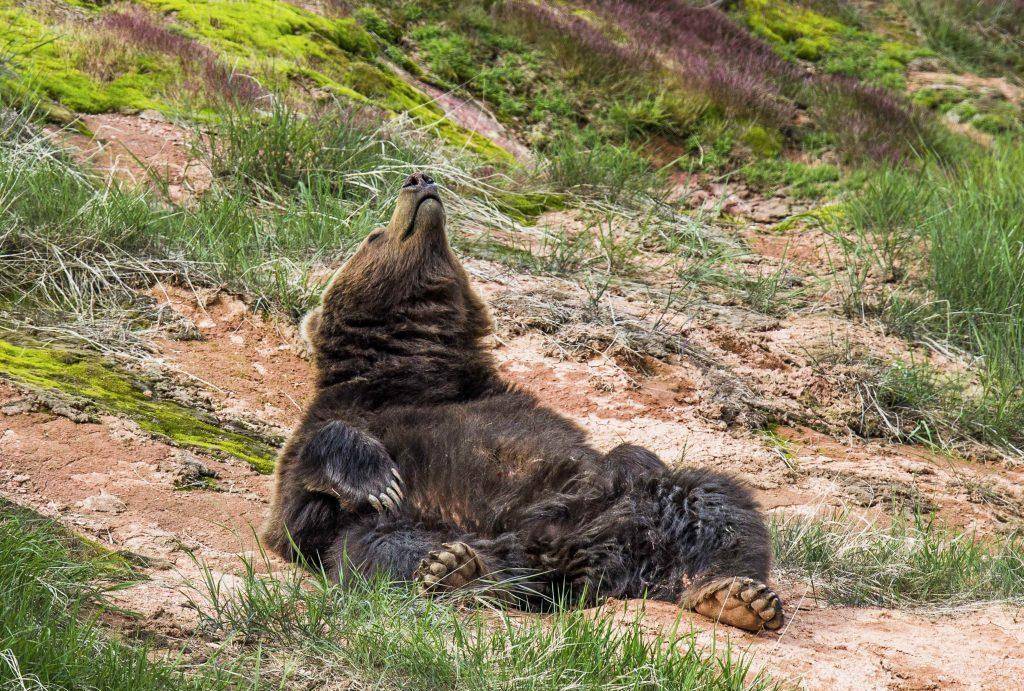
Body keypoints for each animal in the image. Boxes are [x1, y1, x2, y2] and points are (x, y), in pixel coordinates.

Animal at [266, 171, 782, 630]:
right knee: (379, 547)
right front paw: (375, 479)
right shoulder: (344, 416)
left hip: (630, 504)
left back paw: (736, 595)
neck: (414, 366)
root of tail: (570, 560)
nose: (419, 180)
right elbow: (298, 512)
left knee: (716, 501)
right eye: (374, 236)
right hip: (433, 524)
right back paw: (455, 569)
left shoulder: (501, 401)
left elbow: (626, 454)